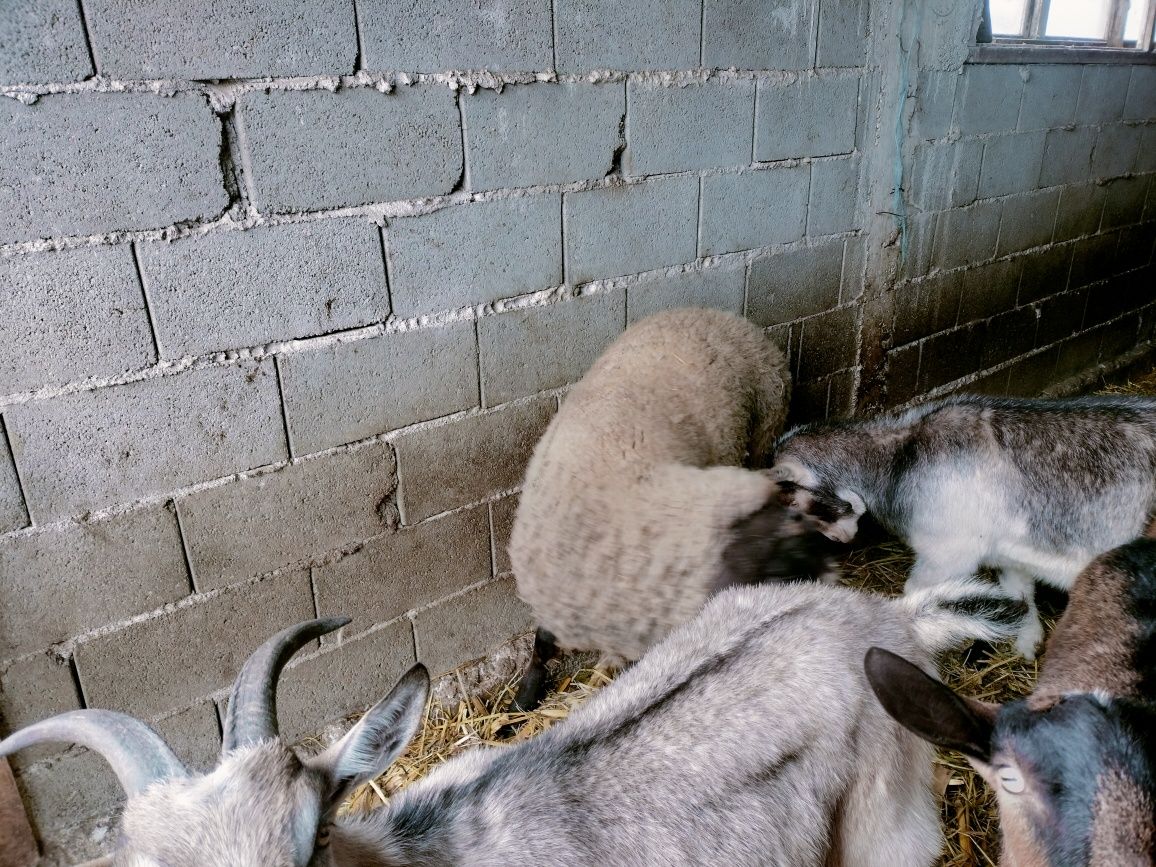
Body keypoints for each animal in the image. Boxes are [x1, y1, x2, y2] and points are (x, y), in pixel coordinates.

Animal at [772, 393, 1156, 656]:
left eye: (792, 500)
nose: (843, 540)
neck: (900, 458)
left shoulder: (947, 553)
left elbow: (917, 593)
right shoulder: (1009, 551)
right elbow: (1020, 593)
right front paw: (1026, 642)